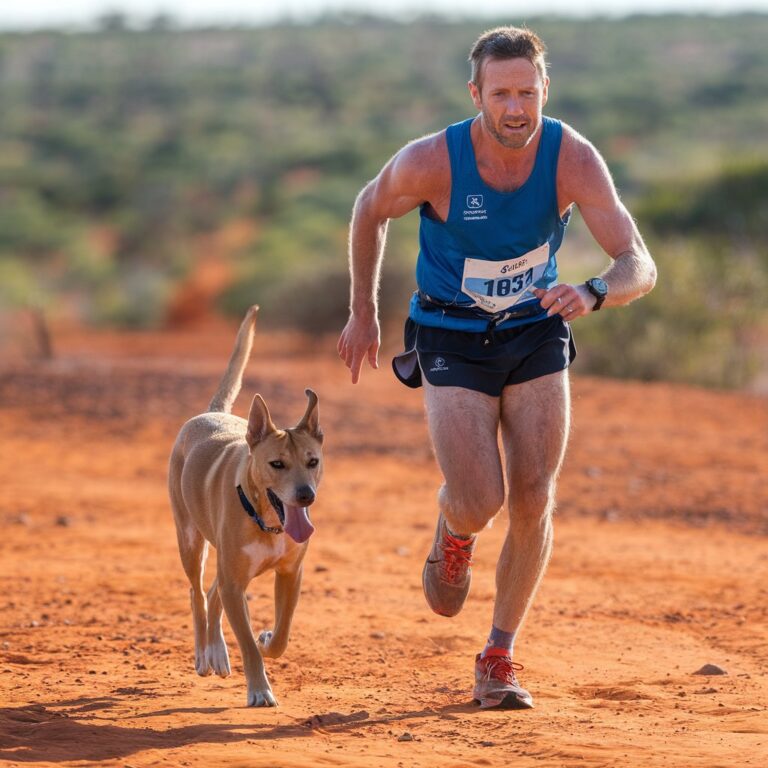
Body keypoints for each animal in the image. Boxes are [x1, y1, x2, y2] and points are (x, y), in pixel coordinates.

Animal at [168, 306, 324, 708]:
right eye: (277, 464)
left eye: (313, 461)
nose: (306, 496)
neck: (267, 522)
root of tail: (210, 413)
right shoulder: (236, 581)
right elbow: (248, 645)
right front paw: (259, 690)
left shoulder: (290, 574)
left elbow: (280, 634)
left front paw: (268, 639)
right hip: (191, 541)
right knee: (197, 594)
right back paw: (205, 655)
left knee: (211, 594)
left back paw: (219, 653)